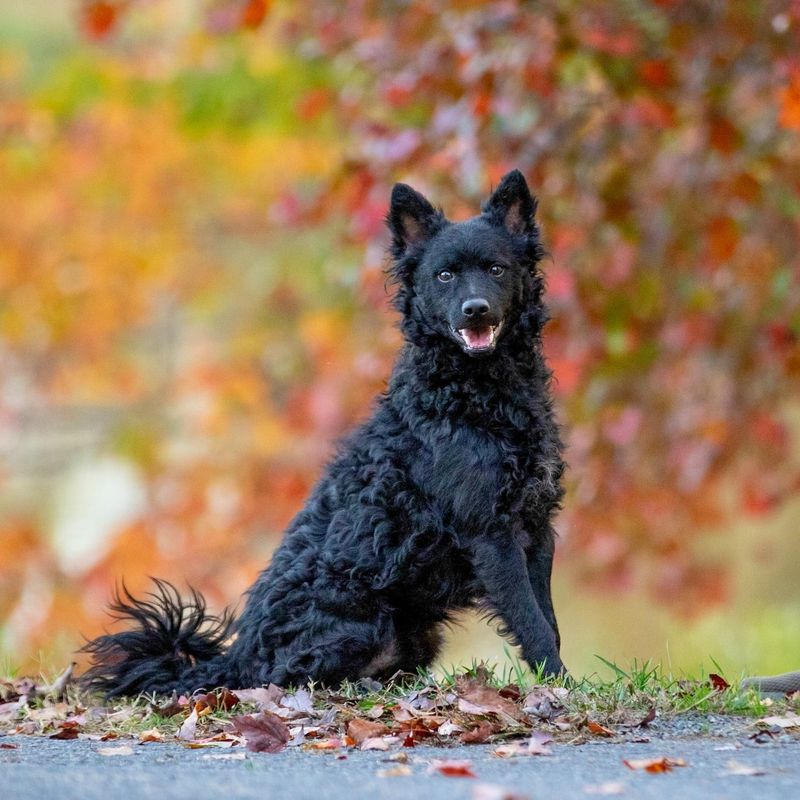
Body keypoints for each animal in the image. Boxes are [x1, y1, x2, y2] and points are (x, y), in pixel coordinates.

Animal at [83, 172, 564, 696]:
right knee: (293, 677)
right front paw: (563, 685)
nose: (475, 309)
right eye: (444, 276)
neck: (479, 393)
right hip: (360, 624)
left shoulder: (537, 526)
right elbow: (533, 623)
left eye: (496, 269)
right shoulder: (491, 534)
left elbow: (549, 618)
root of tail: (233, 663)